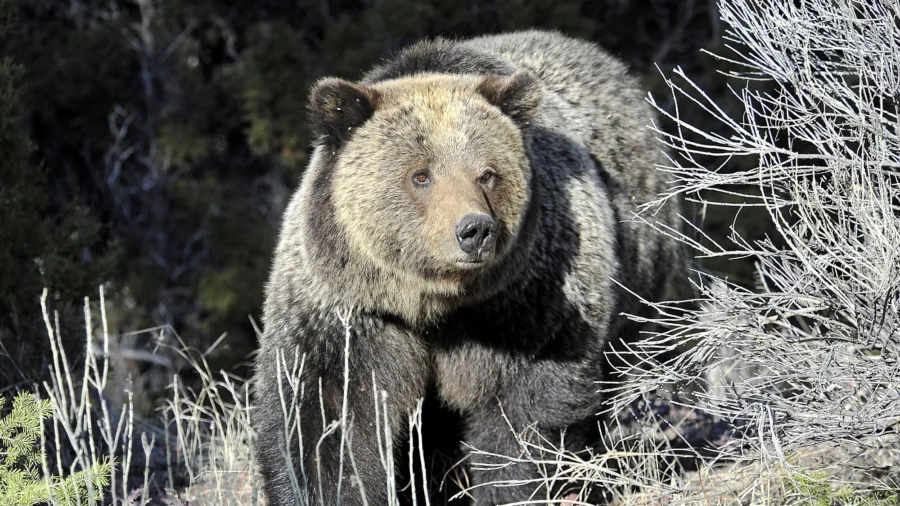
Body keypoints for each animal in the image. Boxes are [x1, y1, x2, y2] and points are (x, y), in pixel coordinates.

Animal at [251, 29, 684, 504]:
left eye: (487, 173)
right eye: (420, 175)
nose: (474, 230)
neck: (433, 304)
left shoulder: (528, 303)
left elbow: (522, 412)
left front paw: (510, 486)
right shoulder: (349, 312)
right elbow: (326, 419)